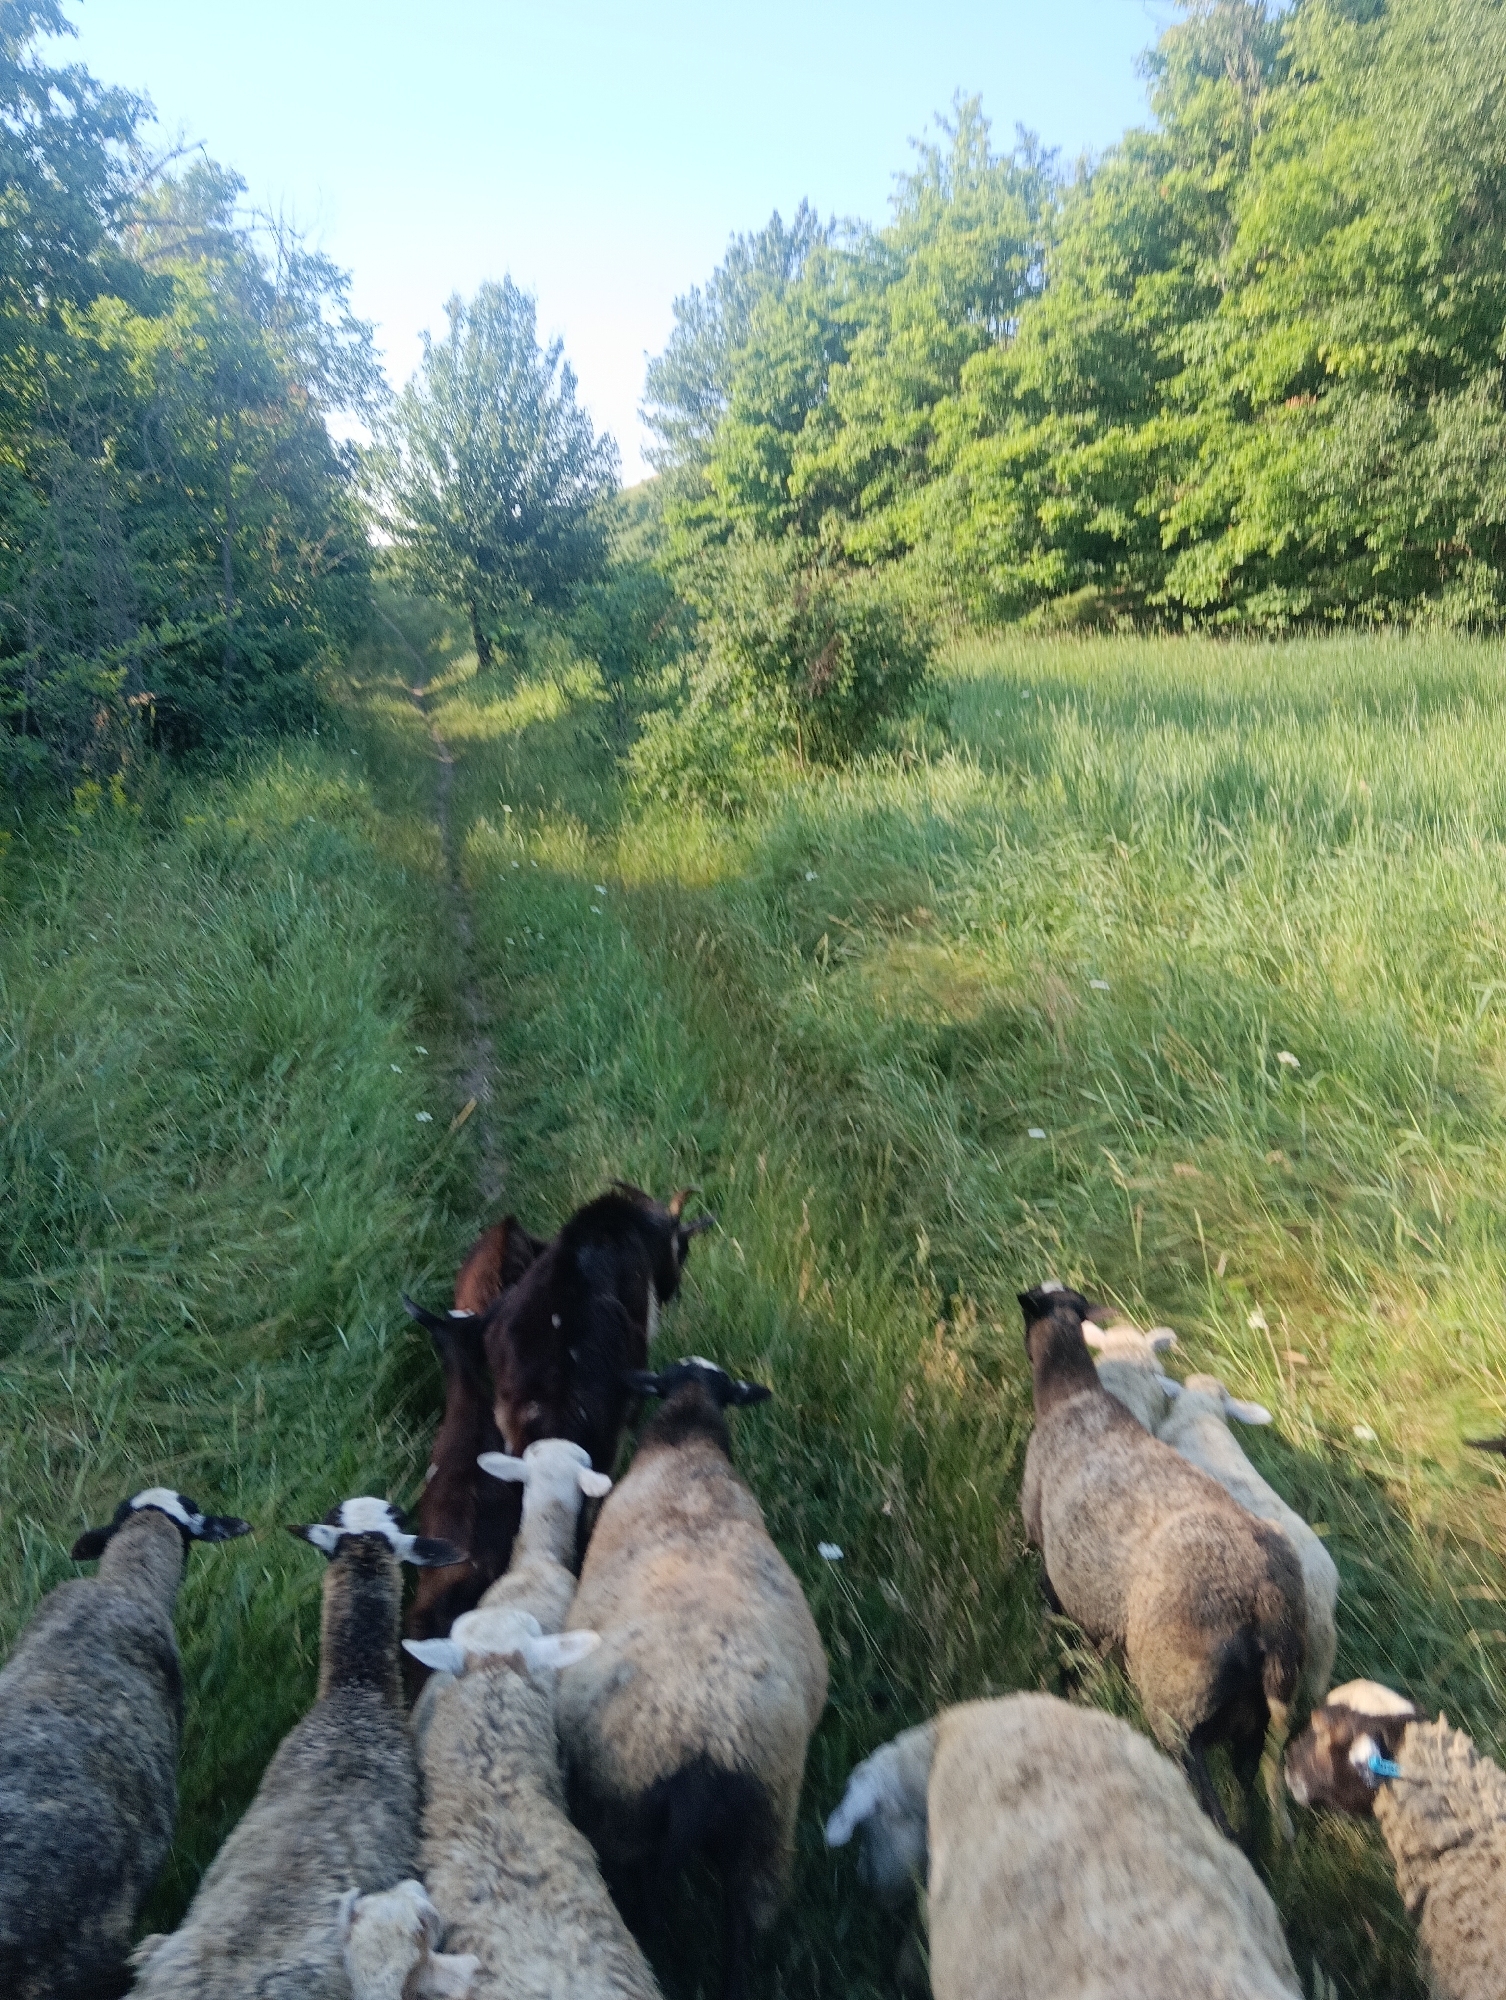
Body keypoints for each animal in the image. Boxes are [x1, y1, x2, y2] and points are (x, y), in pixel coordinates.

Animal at [558, 1357, 828, 2000]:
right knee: (741, 1937)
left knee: (648, 1915)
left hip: (628, 1827)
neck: (688, 1449)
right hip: (764, 1837)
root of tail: (708, 1745)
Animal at [1019, 1284, 1306, 1834]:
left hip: (1179, 1709)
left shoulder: (1044, 1553)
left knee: (1212, 1812)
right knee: (1249, 1812)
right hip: (1253, 1722)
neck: (1073, 1396)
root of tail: (1265, 1602)